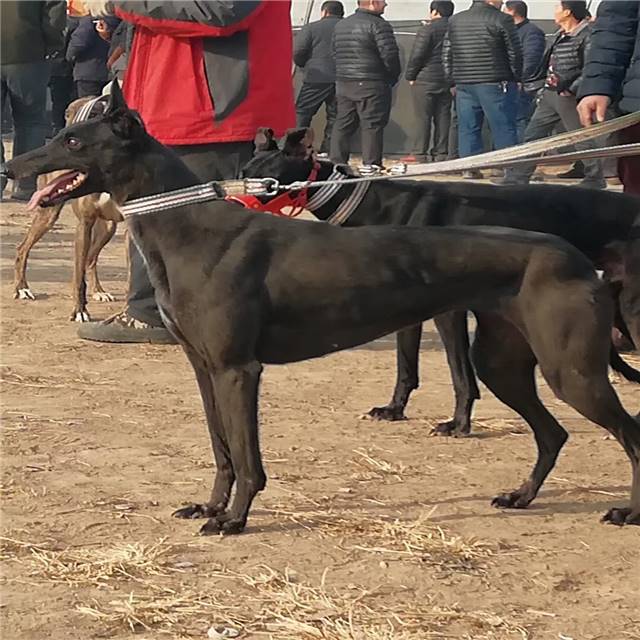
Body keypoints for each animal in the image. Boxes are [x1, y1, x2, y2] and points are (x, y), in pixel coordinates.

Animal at [12, 96, 122, 320]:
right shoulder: (84, 225)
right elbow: (78, 276)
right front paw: (79, 310)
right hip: (48, 215)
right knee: (23, 248)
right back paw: (22, 288)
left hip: (108, 228)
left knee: (91, 258)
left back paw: (99, 291)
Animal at [242, 128, 640, 438]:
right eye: (244, 171)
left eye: (269, 183)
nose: (235, 205)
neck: (379, 203)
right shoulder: (405, 310)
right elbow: (406, 366)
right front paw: (394, 409)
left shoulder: (449, 313)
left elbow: (460, 373)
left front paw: (459, 424)